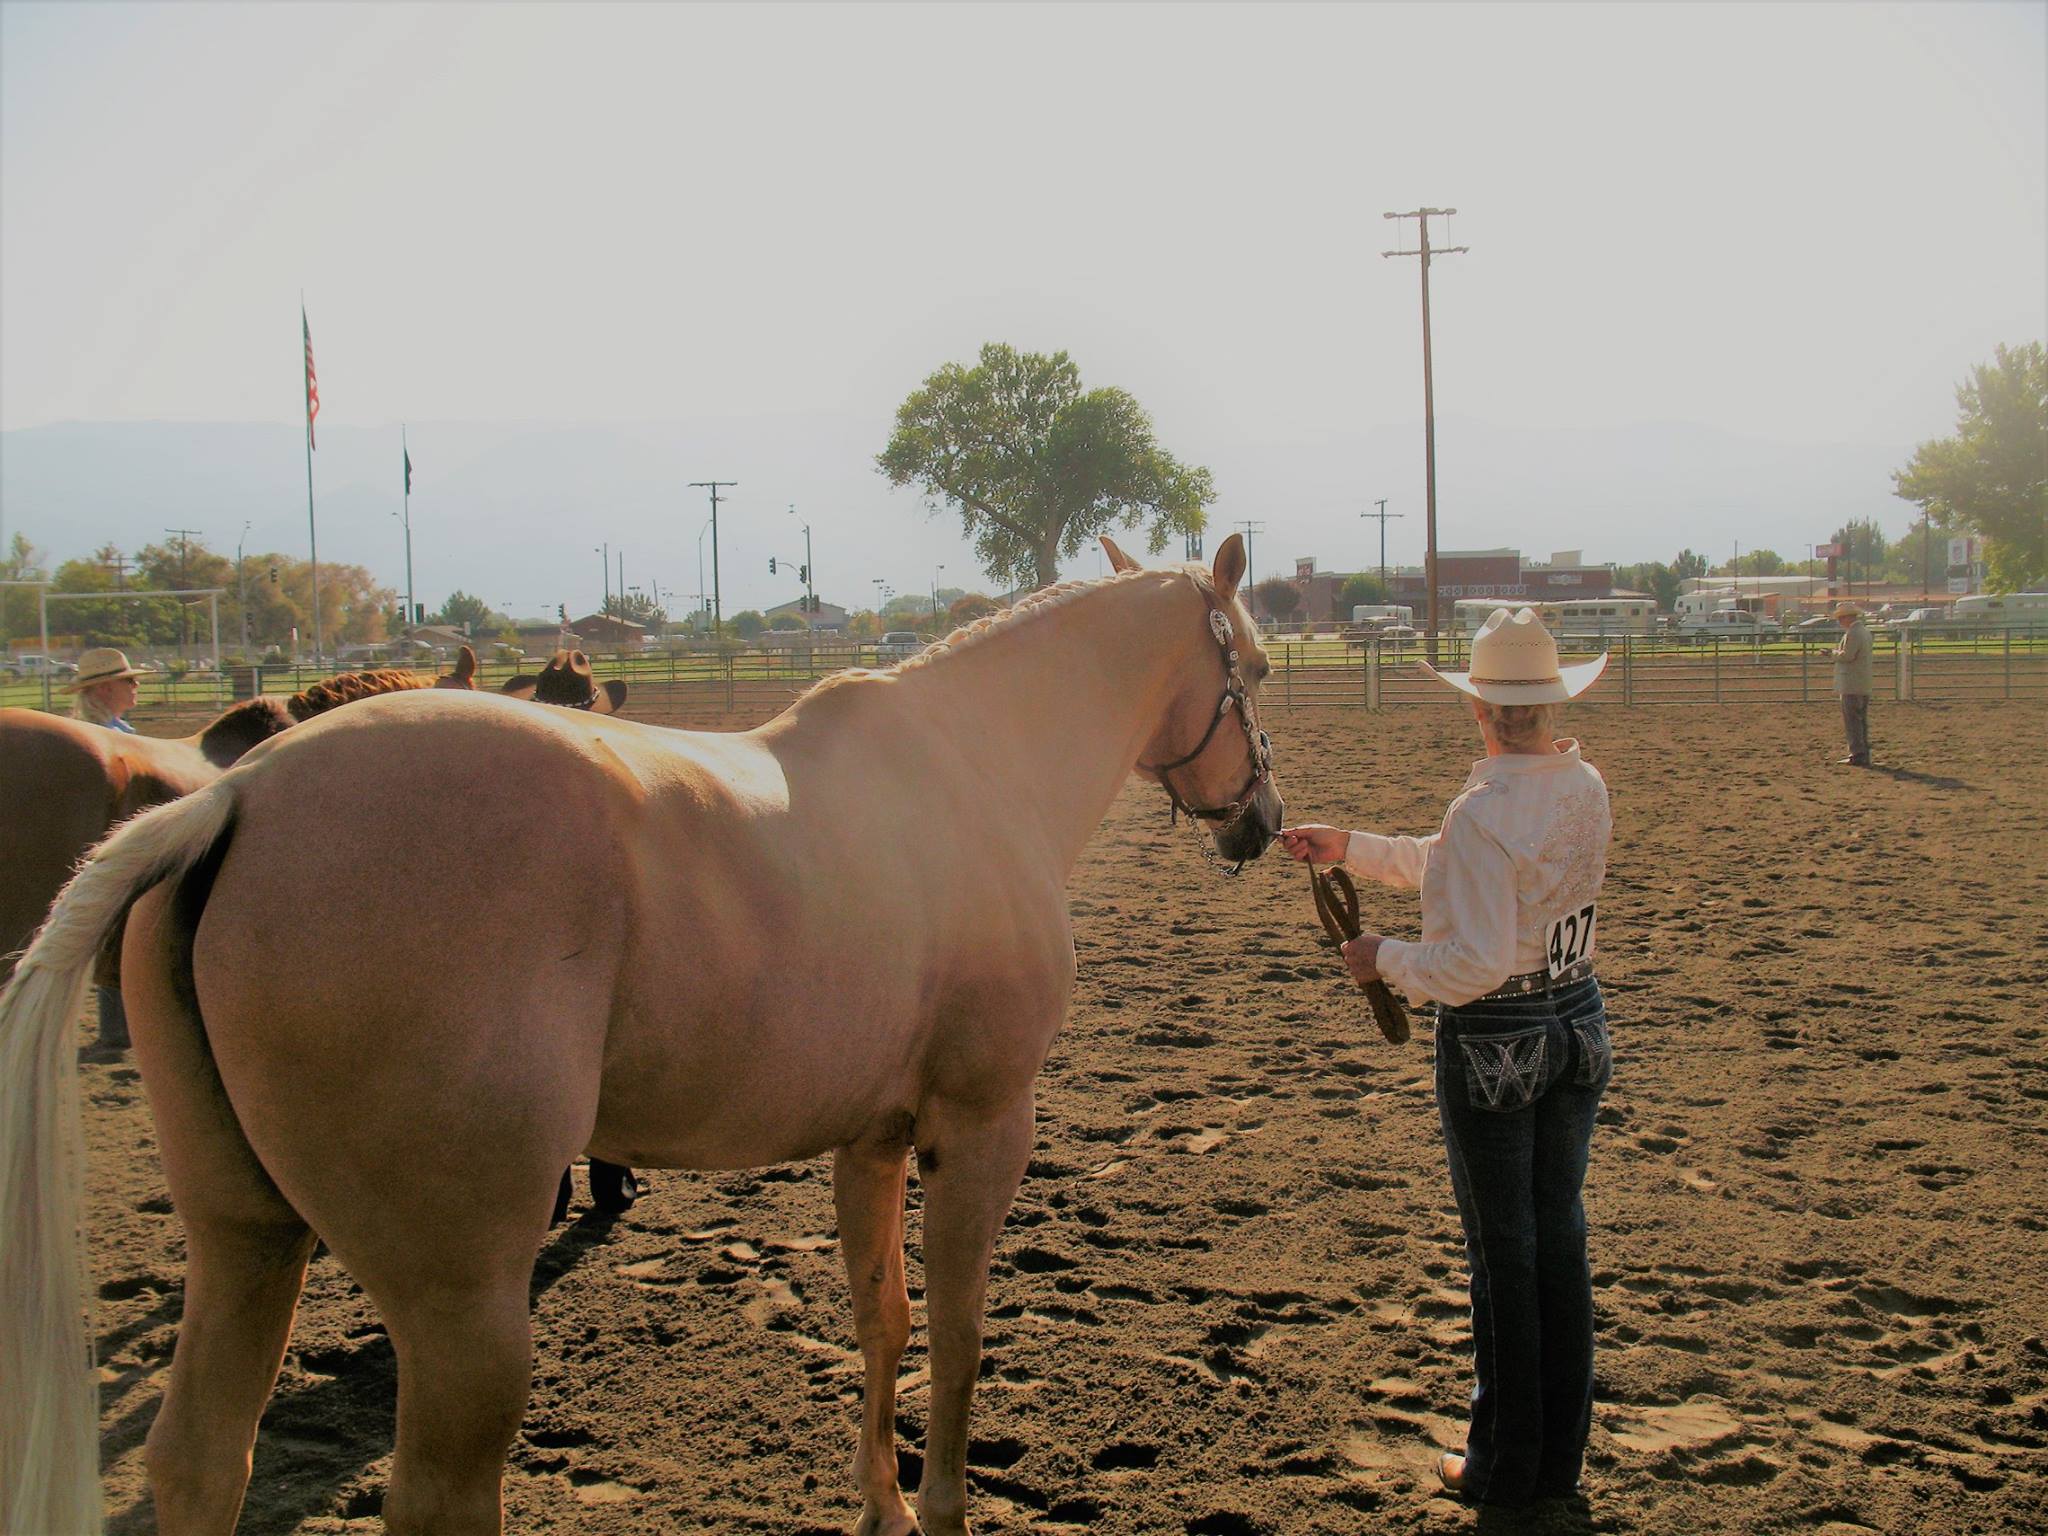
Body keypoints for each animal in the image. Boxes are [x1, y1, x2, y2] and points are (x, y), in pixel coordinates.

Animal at [0, 536, 1277, 1531]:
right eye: (1255, 668)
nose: (1259, 820)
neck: (967, 767)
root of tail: (235, 798)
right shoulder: (981, 1127)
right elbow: (960, 1334)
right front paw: (945, 1510)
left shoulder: (869, 1140)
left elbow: (885, 1319)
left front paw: (883, 1505)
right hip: (460, 1300)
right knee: (434, 1495)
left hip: (245, 1239)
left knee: (199, 1461)